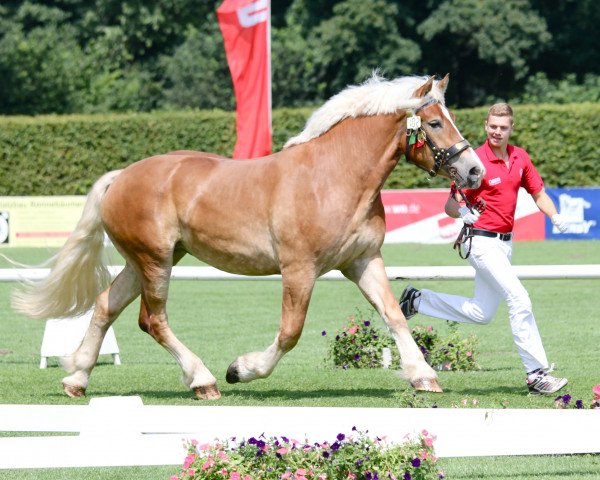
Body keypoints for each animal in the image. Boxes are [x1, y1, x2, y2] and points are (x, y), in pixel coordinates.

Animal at [11, 74, 486, 398]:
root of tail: (121, 176)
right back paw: (202, 381)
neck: (334, 177)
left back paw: (77, 378)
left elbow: (394, 315)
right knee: (152, 319)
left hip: (145, 260)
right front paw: (241, 369)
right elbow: (290, 332)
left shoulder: (362, 261)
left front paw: (423, 375)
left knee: (106, 305)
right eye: (434, 123)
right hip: (155, 261)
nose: (475, 172)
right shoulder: (299, 269)